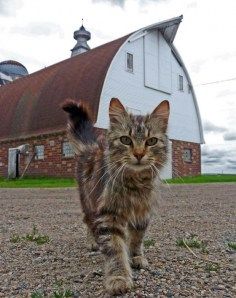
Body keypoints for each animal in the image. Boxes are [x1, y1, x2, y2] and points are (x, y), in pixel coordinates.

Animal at [62, 98, 170, 296]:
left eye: (151, 141)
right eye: (125, 140)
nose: (139, 154)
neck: (135, 186)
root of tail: (92, 147)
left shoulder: (142, 213)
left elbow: (137, 239)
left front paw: (136, 257)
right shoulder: (108, 215)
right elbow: (116, 251)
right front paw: (118, 278)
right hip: (89, 201)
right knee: (88, 222)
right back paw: (93, 242)